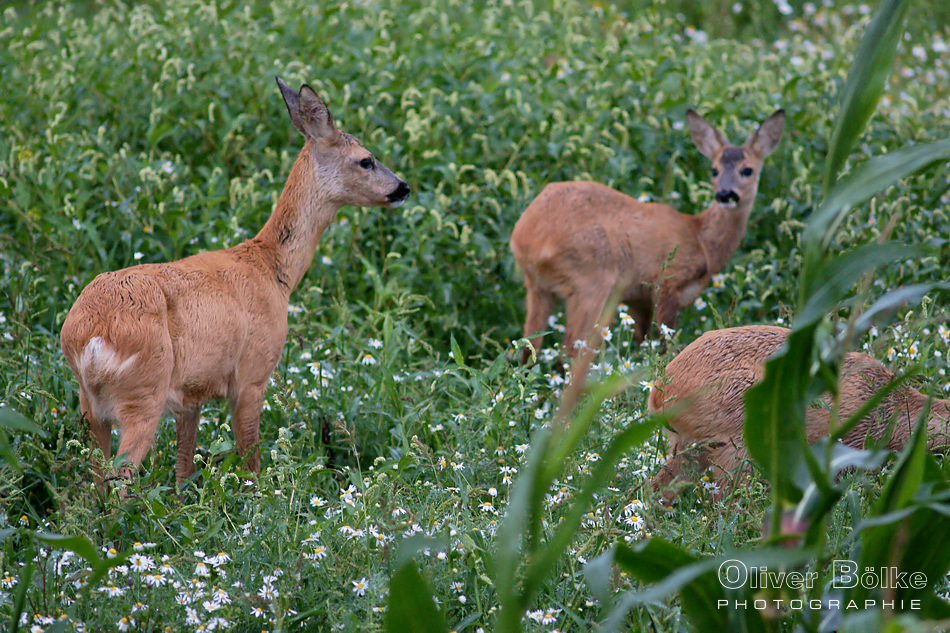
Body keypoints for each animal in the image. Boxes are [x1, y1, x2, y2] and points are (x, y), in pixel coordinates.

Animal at [61, 76, 410, 486]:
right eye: (366, 159)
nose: (402, 188)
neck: (273, 270)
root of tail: (91, 337)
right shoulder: (253, 372)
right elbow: (251, 460)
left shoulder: (190, 394)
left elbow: (184, 469)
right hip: (144, 392)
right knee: (121, 480)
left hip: (91, 405)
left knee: (97, 479)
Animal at [512, 111, 788, 362]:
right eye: (714, 170)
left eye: (748, 170)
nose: (725, 194)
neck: (700, 238)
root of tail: (526, 236)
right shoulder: (665, 281)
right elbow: (665, 343)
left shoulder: (638, 298)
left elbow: (641, 342)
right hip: (592, 280)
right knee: (571, 348)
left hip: (537, 286)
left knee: (529, 346)